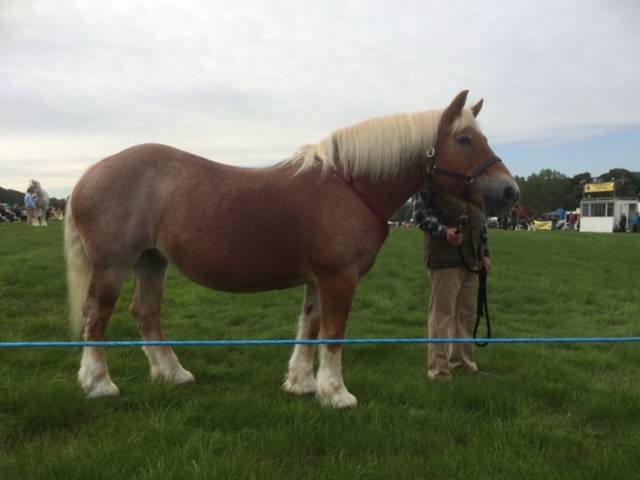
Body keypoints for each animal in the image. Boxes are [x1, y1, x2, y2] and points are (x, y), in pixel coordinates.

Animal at [62, 91, 516, 408]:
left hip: (152, 262)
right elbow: (333, 334)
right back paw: (100, 384)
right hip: (113, 265)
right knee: (97, 316)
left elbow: (309, 328)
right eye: (464, 139)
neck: (349, 186)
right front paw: (337, 394)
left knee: (146, 314)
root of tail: (89, 174)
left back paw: (173, 374)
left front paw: (303, 384)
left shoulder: (319, 279)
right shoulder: (339, 278)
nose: (510, 190)